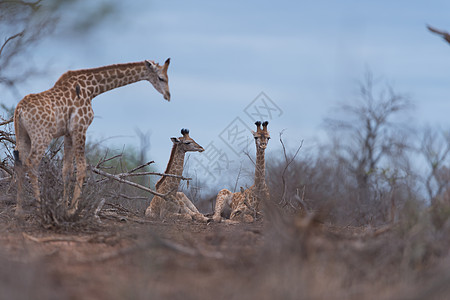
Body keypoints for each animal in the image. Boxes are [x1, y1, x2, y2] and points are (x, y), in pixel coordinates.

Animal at [14, 58, 171, 216]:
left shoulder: (68, 133)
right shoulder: (80, 128)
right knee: (31, 162)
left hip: (23, 136)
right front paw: (73, 208)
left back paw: (19, 209)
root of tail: (19, 110)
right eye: (161, 78)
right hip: (42, 135)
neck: (91, 89)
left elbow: (67, 169)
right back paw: (38, 207)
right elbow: (82, 167)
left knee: (20, 162)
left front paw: (64, 206)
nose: (168, 95)